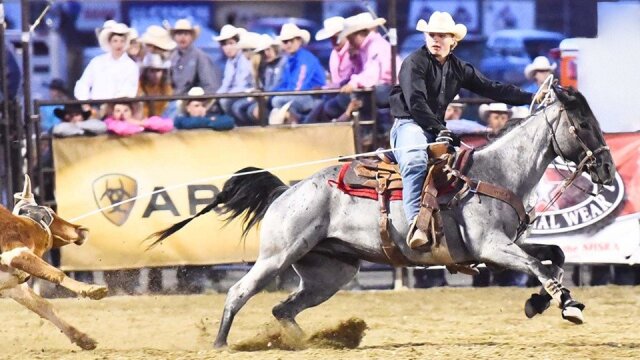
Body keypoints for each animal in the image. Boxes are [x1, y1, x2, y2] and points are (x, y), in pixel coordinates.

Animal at [0, 176, 107, 350]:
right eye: (52, 213)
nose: (80, 229)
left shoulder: (13, 286)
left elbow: (45, 307)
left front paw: (83, 338)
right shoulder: (15, 253)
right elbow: (57, 273)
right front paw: (92, 289)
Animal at [150, 86, 616, 348]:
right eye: (582, 124)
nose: (608, 170)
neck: (496, 172)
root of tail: (286, 192)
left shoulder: (505, 246)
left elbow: (554, 256)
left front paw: (540, 302)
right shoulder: (493, 247)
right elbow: (542, 265)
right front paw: (568, 306)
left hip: (330, 273)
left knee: (284, 308)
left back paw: (311, 343)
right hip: (276, 257)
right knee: (238, 293)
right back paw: (220, 343)